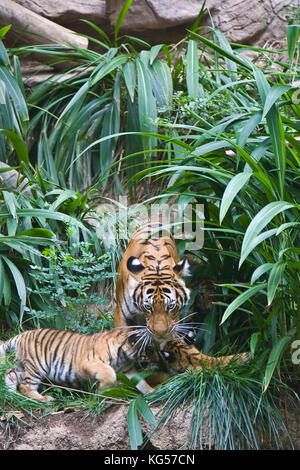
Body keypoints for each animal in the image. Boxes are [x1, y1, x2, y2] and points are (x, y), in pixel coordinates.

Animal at [0, 324, 157, 402]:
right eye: (150, 348)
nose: (157, 361)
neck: (124, 356)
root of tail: (22, 334)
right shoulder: (88, 362)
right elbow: (109, 373)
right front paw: (103, 391)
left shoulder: (128, 370)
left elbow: (141, 382)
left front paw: (153, 392)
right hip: (36, 367)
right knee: (25, 386)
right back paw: (44, 399)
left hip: (24, 366)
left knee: (10, 373)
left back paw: (11, 393)